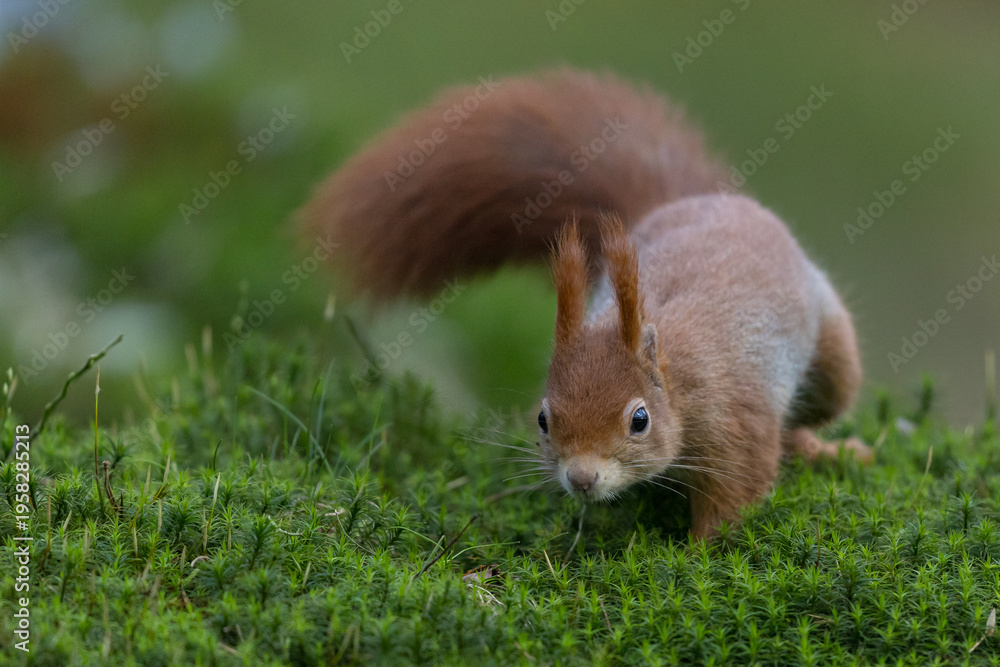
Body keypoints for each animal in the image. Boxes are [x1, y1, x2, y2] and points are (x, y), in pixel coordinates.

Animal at [303, 69, 871, 538]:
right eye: (542, 419)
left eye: (640, 420)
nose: (580, 478)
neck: (674, 379)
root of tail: (690, 200)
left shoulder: (734, 423)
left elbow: (735, 497)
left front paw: (698, 556)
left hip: (832, 354)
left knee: (815, 410)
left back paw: (826, 449)